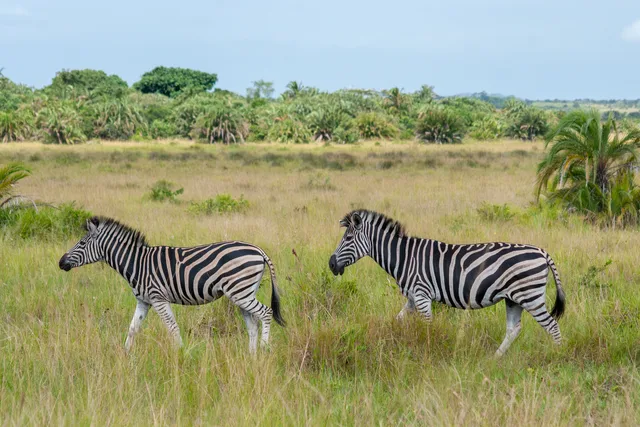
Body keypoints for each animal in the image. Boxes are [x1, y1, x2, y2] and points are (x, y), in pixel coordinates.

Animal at [59, 216, 285, 353]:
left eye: (81, 243)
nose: (61, 262)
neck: (137, 263)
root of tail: (258, 249)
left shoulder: (158, 298)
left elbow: (172, 328)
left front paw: (181, 354)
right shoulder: (144, 301)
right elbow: (133, 329)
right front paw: (125, 355)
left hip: (241, 292)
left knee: (265, 313)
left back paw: (264, 350)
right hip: (243, 293)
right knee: (252, 325)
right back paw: (251, 357)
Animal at [328, 210, 566, 357]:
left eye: (348, 239)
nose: (331, 264)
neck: (404, 257)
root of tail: (542, 251)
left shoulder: (422, 294)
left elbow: (428, 326)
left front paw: (428, 350)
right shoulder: (412, 298)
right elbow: (397, 321)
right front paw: (387, 340)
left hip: (530, 296)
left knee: (552, 325)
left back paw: (557, 355)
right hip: (513, 299)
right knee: (513, 329)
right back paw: (494, 359)